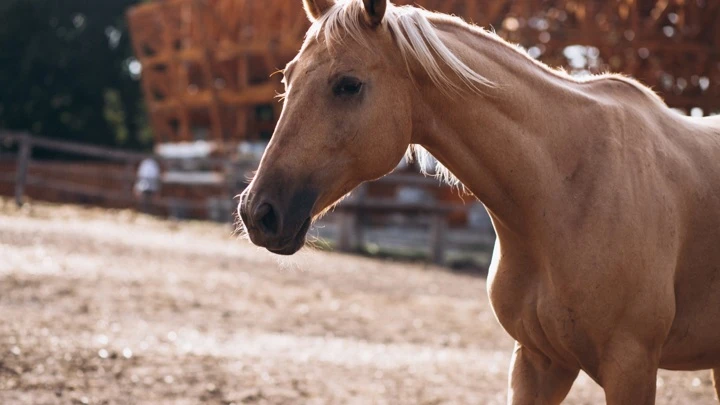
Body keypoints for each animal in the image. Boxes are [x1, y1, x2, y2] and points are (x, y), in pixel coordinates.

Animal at [239, 0, 720, 400]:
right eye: (287, 78)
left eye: (348, 84)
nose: (257, 212)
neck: (565, 191)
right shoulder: (537, 362)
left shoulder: (631, 366)